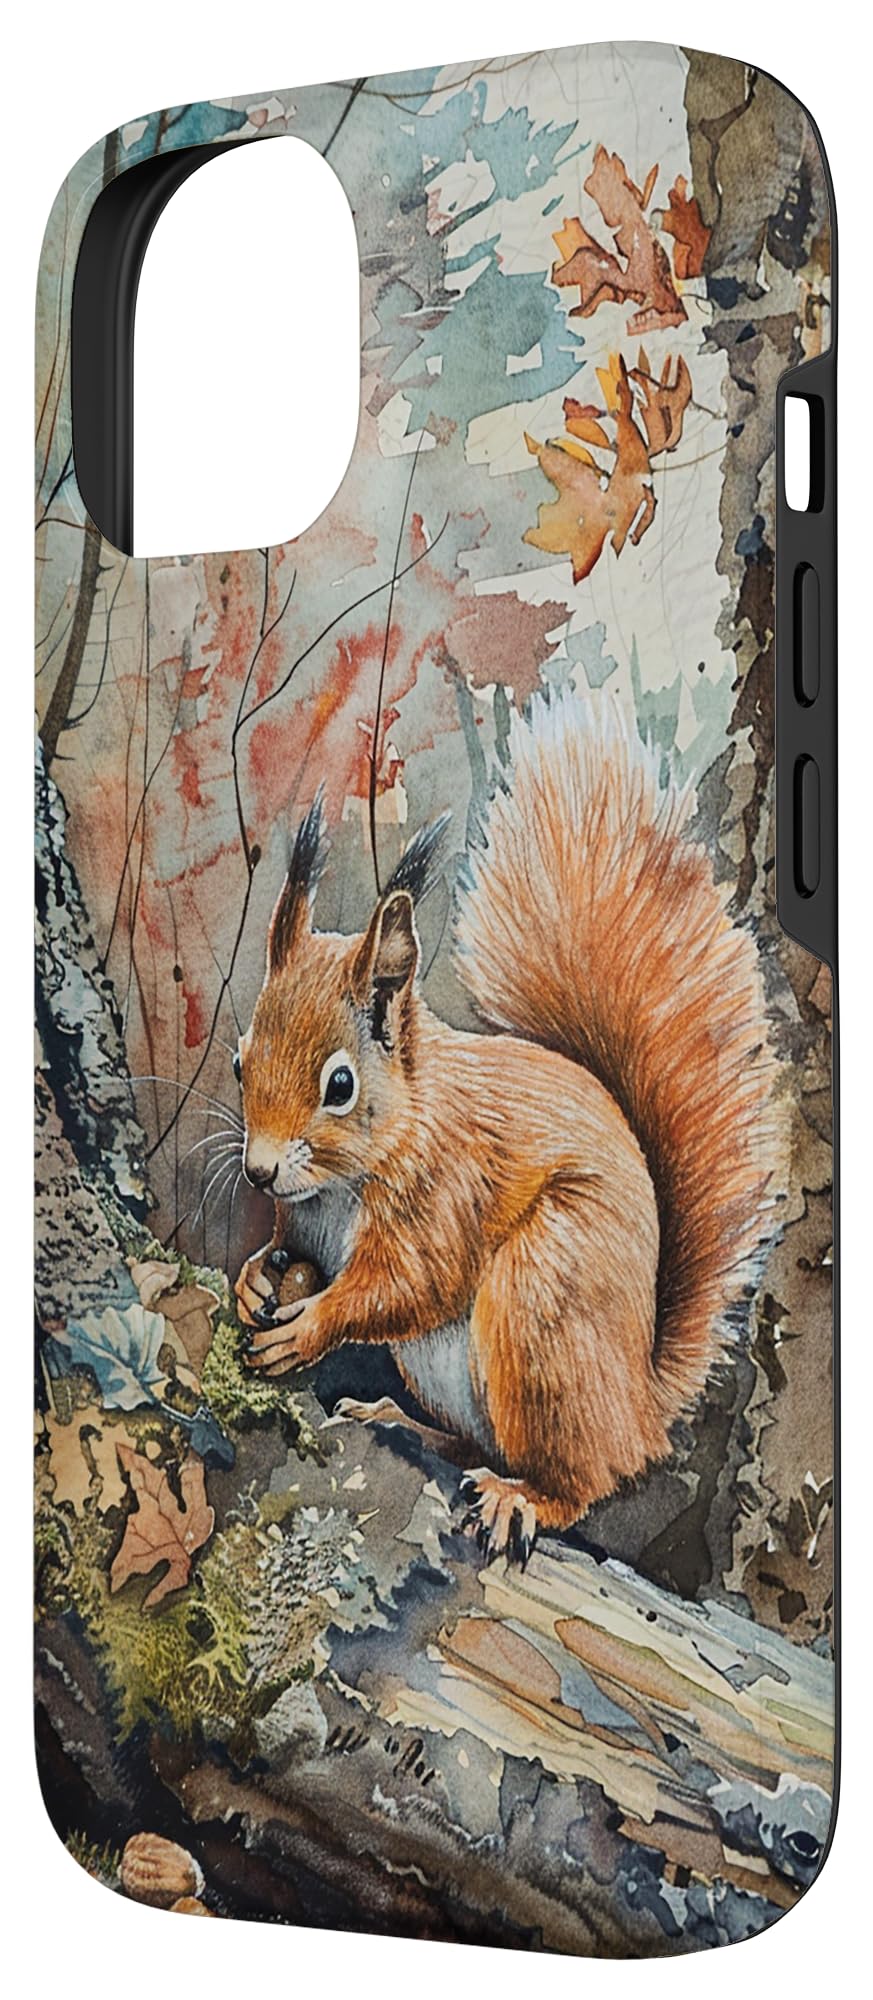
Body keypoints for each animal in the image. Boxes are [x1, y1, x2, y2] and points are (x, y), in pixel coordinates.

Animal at [233, 689, 778, 1562]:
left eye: (340, 1085)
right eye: (240, 1063)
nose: (257, 1171)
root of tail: (637, 1408)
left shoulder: (445, 1192)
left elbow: (409, 1285)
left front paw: (309, 1327)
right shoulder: (306, 1223)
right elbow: (292, 1256)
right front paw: (255, 1279)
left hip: (541, 1312)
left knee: (576, 1479)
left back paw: (522, 1498)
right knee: (475, 1442)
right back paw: (396, 1419)